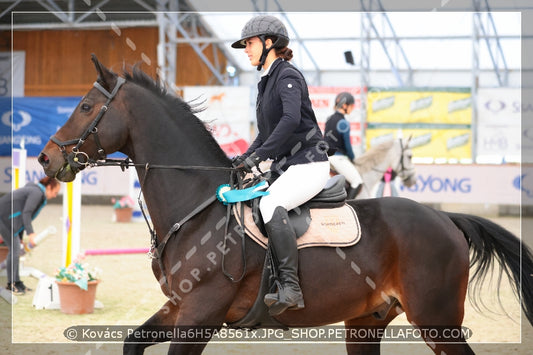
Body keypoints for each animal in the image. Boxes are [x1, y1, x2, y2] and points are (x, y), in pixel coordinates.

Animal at [38, 55, 532, 355]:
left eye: (85, 107)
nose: (46, 158)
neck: (197, 210)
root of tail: (445, 219)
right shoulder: (178, 307)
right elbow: (132, 343)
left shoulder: (199, 314)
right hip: (367, 320)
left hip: (437, 319)